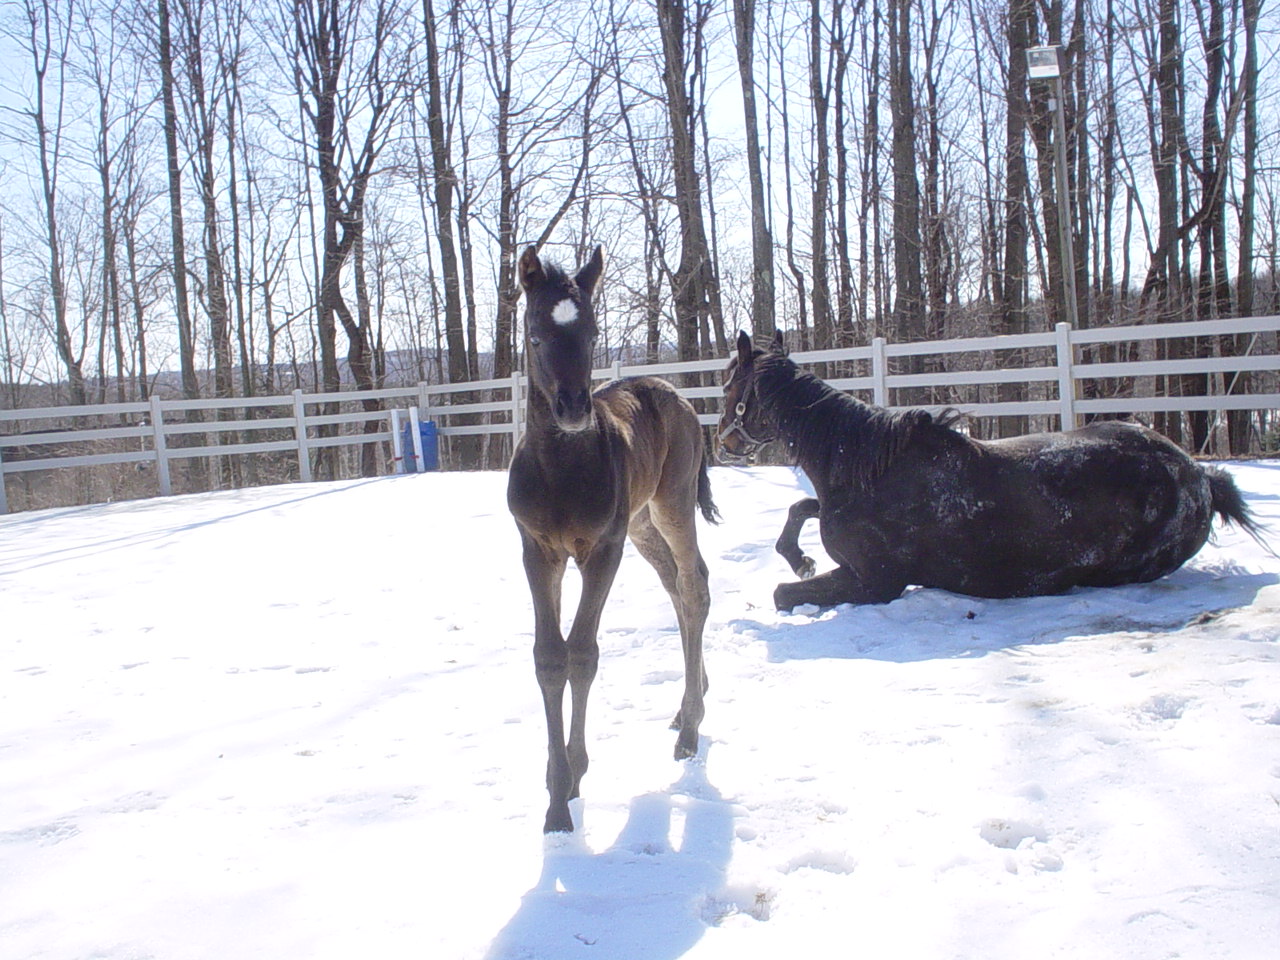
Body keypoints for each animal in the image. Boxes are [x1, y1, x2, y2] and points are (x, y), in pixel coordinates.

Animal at [507, 244, 718, 834]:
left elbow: (582, 653)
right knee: (677, 587)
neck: (559, 470)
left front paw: (570, 784)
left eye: (593, 331)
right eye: (535, 334)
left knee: (694, 586)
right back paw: (688, 703)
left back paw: (691, 729)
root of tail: (677, 395)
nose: (575, 409)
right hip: (643, 525)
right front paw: (556, 794)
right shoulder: (539, 553)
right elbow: (548, 658)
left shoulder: (603, 550)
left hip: (670, 506)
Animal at [718, 330, 1267, 612]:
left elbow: (783, 594)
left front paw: (799, 568)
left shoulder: (875, 584)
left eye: (727, 387)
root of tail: (1201, 477)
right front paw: (800, 557)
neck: (866, 473)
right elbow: (800, 506)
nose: (723, 440)